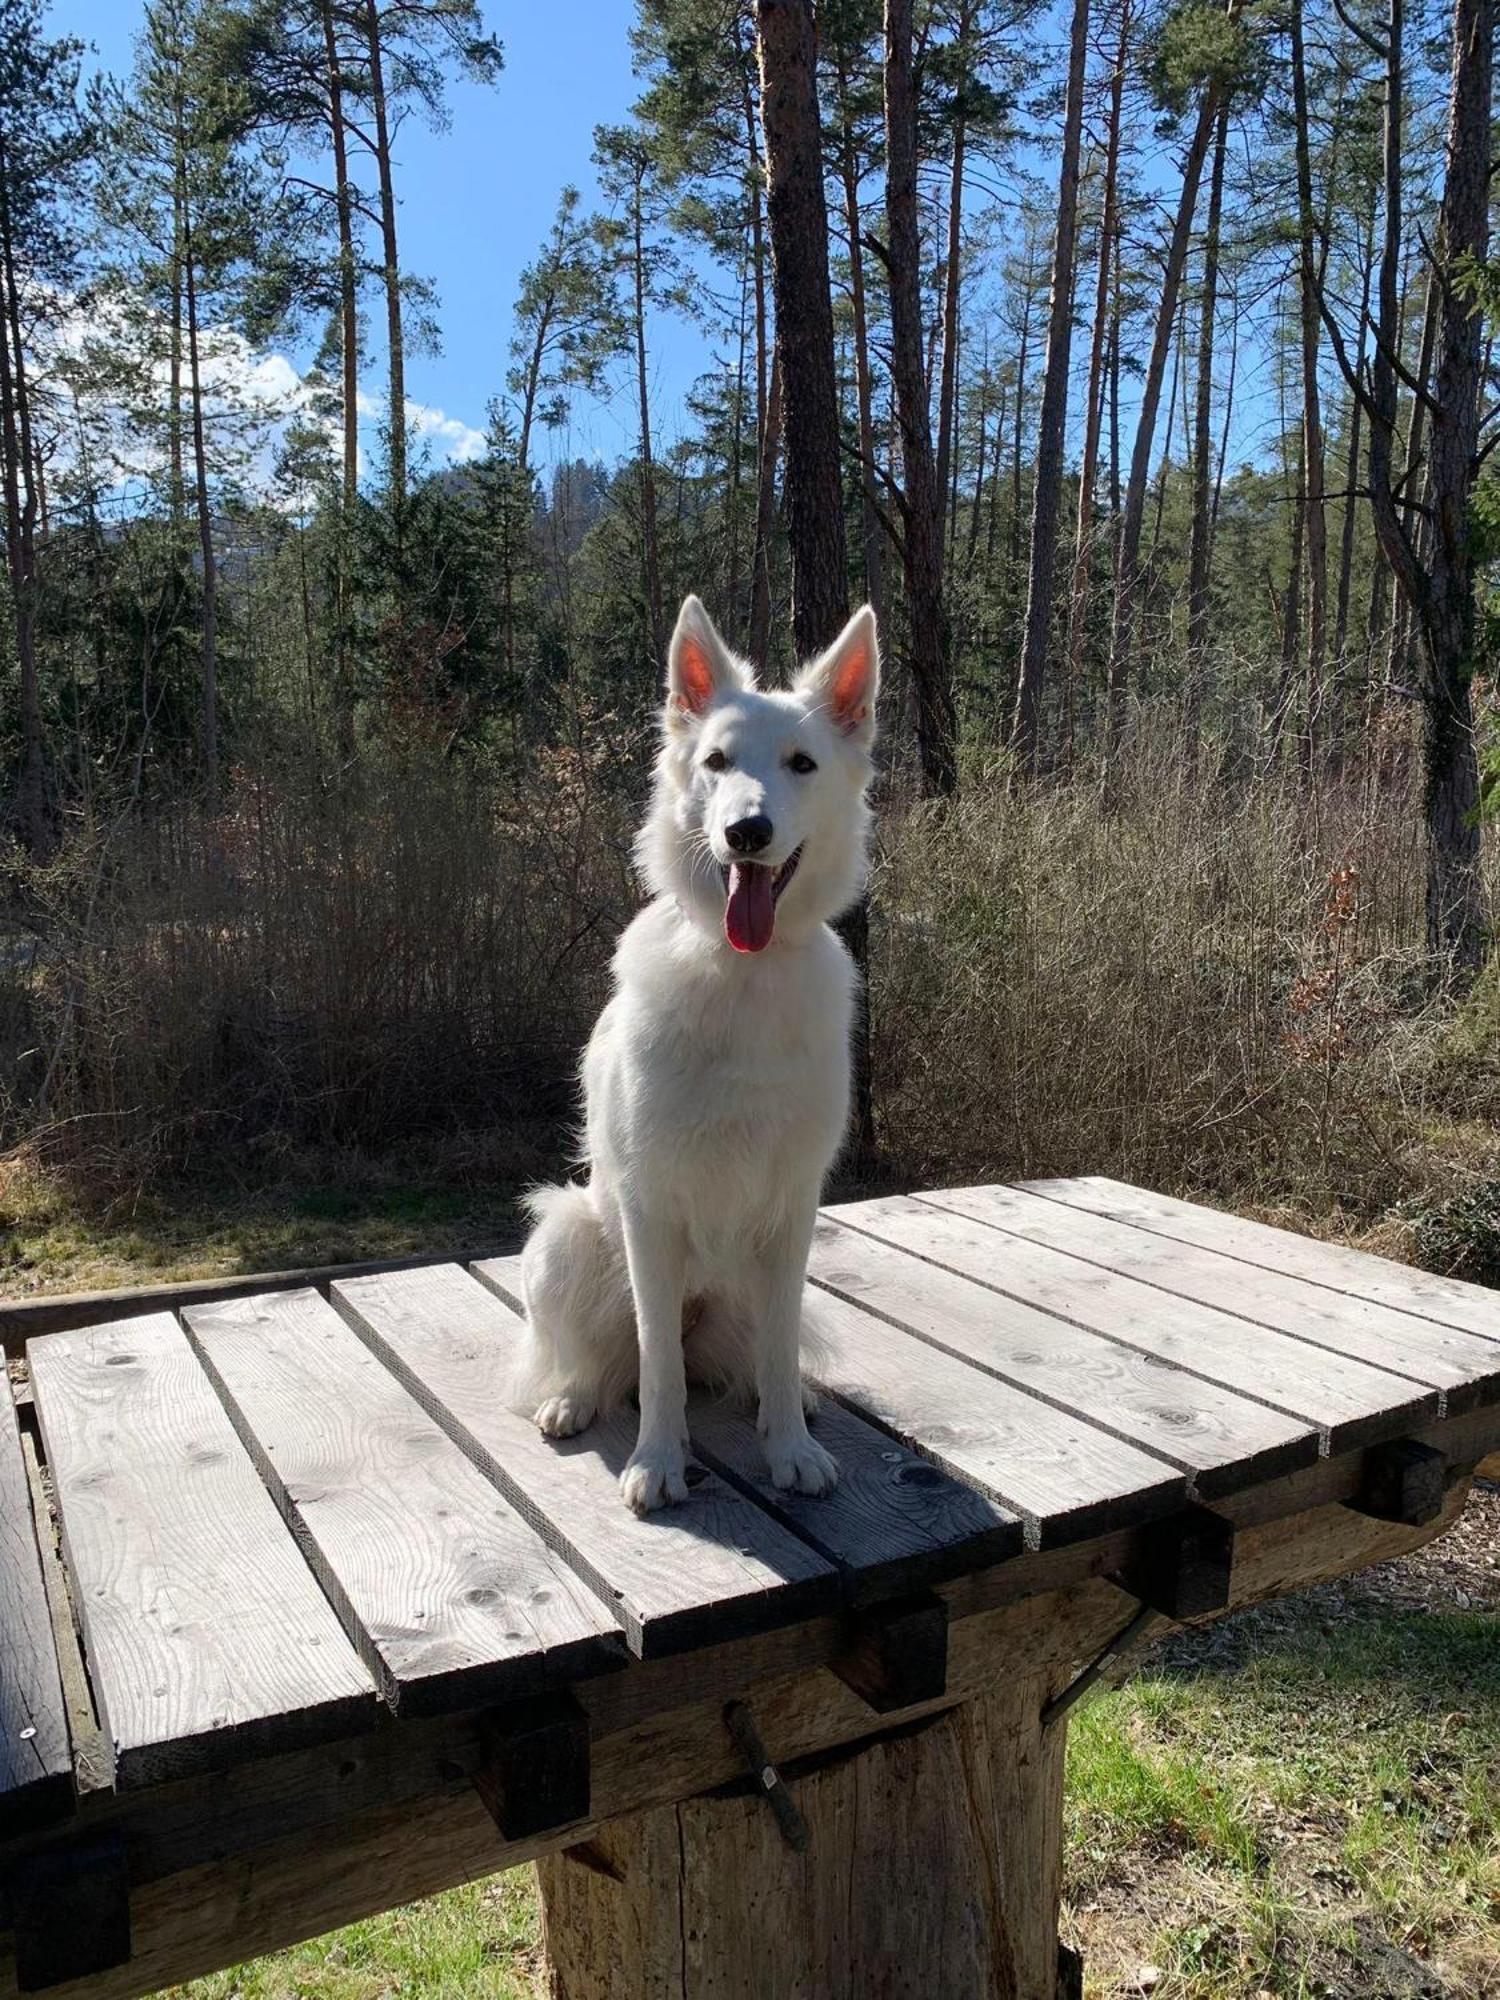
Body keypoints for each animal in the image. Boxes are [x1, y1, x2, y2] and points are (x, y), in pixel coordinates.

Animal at [516, 592, 880, 1512]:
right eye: (717, 761)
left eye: (801, 764)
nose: (747, 831)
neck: (741, 974)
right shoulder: (650, 1209)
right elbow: (660, 1367)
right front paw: (657, 1461)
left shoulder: (793, 1212)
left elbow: (777, 1357)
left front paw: (788, 1448)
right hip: (566, 1235)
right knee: (606, 1359)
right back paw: (571, 1398)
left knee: (757, 1357)